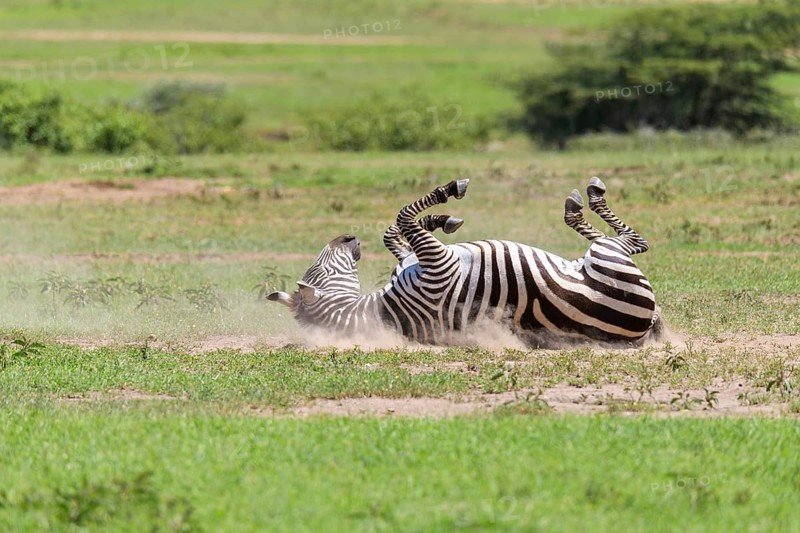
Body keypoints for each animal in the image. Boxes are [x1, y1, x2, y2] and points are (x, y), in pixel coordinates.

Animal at [267, 178, 661, 345]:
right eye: (318, 269)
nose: (347, 237)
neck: (382, 311)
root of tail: (642, 329)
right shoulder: (438, 264)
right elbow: (404, 215)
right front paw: (448, 193)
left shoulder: (418, 260)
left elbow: (395, 231)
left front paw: (440, 219)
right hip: (608, 260)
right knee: (632, 242)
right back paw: (587, 198)